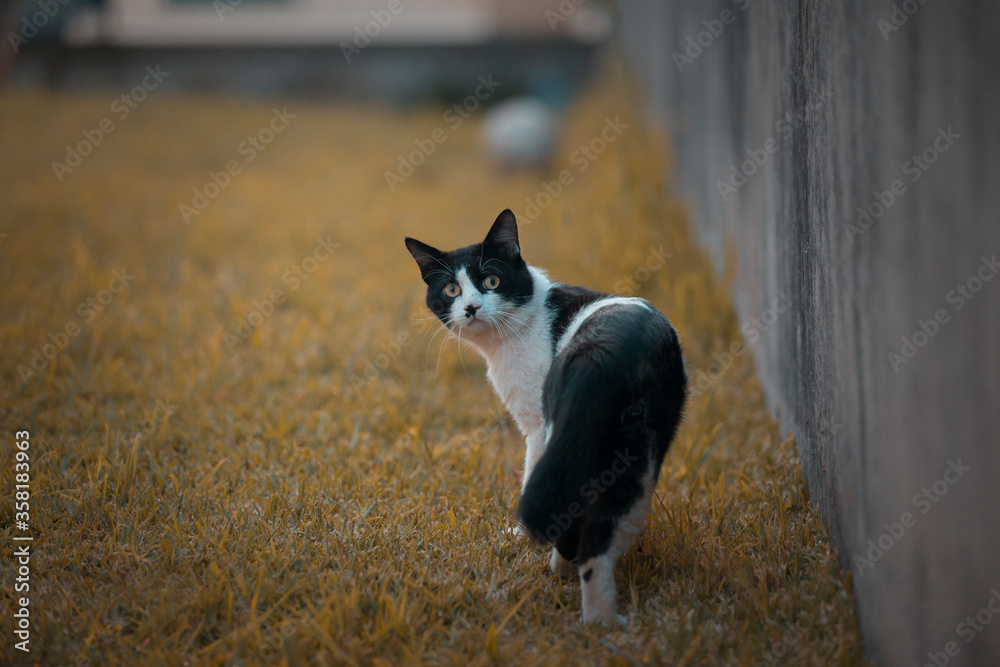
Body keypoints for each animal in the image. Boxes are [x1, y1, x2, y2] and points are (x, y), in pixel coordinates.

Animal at [406, 209, 688, 628]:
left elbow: (531, 479)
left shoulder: (537, 427)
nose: (471, 308)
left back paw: (573, 585)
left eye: (491, 281)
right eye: (452, 290)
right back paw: (600, 619)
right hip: (636, 448)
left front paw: (519, 537)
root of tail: (602, 351)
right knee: (602, 527)